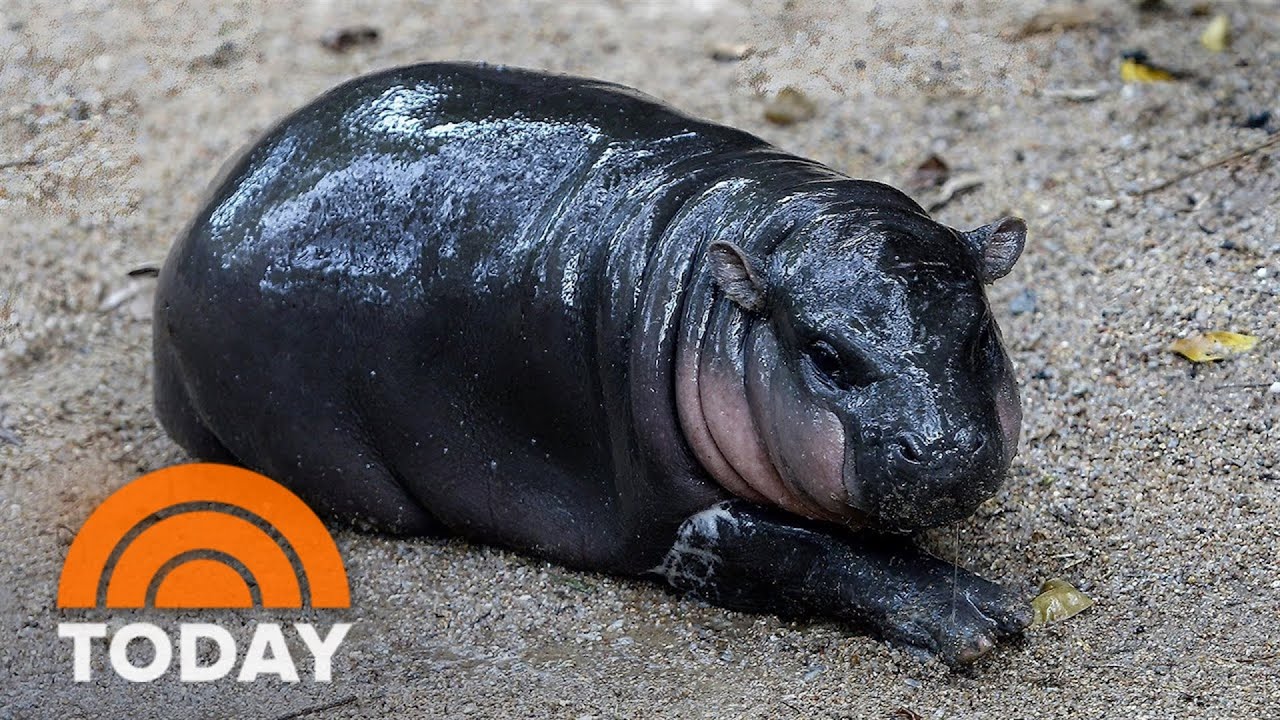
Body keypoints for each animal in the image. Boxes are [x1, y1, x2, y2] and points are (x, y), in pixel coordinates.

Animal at [154, 62, 1032, 665]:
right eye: (824, 354)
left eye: (980, 336)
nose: (945, 446)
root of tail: (202, 218)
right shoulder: (686, 529)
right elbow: (813, 552)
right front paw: (980, 616)